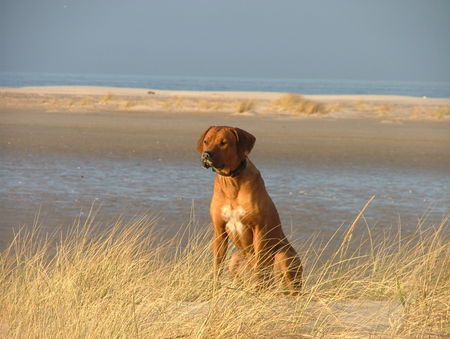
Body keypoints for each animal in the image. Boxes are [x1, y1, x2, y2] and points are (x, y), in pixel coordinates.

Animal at [197, 126, 302, 294]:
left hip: (283, 256)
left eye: (223, 143)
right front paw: (213, 287)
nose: (206, 154)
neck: (231, 182)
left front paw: (257, 290)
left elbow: (259, 266)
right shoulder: (219, 231)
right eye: (206, 141)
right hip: (235, 259)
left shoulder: (259, 229)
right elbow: (217, 265)